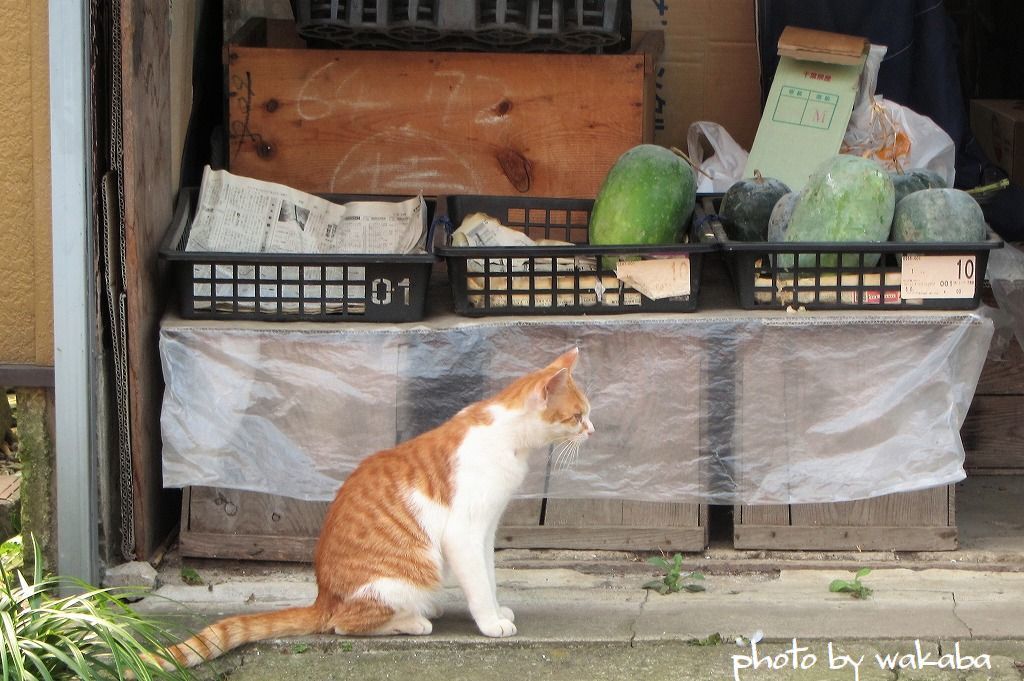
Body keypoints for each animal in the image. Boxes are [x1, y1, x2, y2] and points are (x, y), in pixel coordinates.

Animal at [153, 346, 593, 667]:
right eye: (576, 416)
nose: (592, 430)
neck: (509, 438)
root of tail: (322, 597)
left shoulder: (485, 532)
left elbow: (489, 576)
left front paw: (498, 610)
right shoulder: (464, 533)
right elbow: (479, 584)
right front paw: (490, 622)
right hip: (402, 579)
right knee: (343, 626)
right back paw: (413, 622)